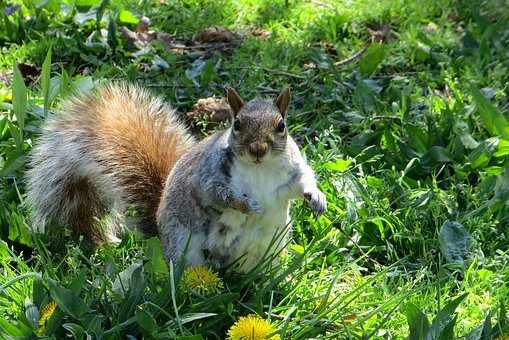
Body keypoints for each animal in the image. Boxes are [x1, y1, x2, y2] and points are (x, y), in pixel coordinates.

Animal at [25, 83, 326, 272]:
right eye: (237, 124)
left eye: (281, 126)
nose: (258, 149)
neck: (259, 169)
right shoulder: (207, 176)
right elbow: (217, 194)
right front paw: (245, 204)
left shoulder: (290, 173)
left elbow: (303, 181)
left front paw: (316, 198)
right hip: (183, 244)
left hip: (268, 247)